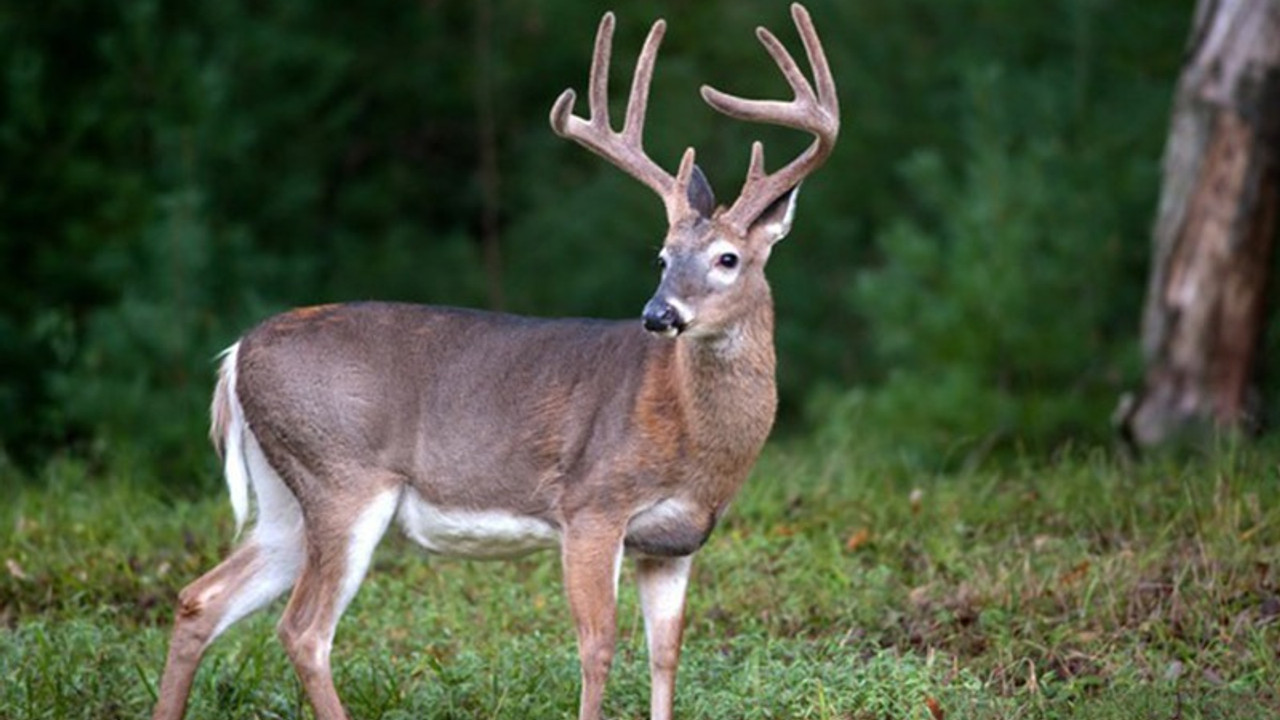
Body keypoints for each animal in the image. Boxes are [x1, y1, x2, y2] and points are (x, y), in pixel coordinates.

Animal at [152, 2, 839, 712]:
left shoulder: (675, 543)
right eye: (662, 257)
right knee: (303, 630)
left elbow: (666, 654)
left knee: (201, 597)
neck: (694, 438)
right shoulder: (590, 505)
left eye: (727, 258)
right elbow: (597, 648)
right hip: (340, 475)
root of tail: (237, 353)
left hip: (287, 499)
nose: (659, 315)